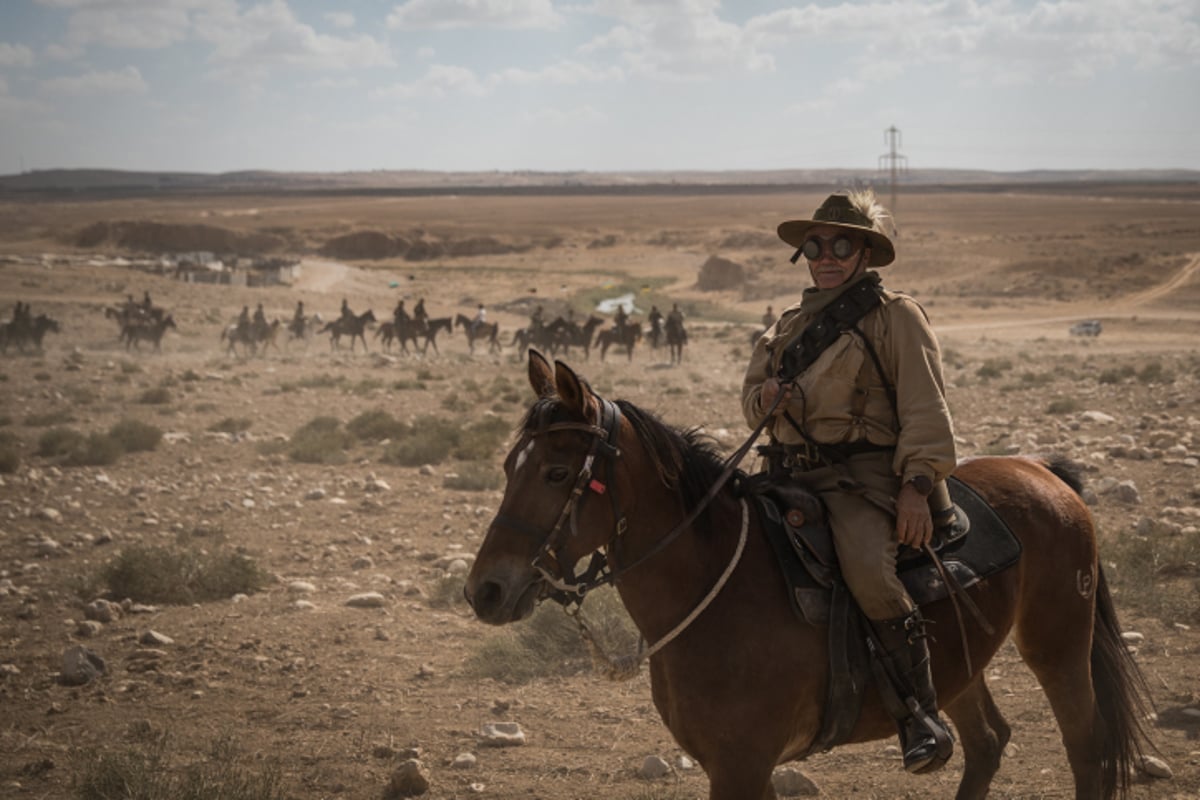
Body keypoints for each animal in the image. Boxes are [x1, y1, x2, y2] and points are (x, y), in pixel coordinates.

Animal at [465, 352, 1152, 800]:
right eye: (507, 465)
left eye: (557, 472)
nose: (484, 591)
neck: (714, 590)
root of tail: (1046, 473)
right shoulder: (738, 767)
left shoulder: (741, 767)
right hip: (963, 663)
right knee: (987, 743)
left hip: (1058, 647)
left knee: (1087, 749)